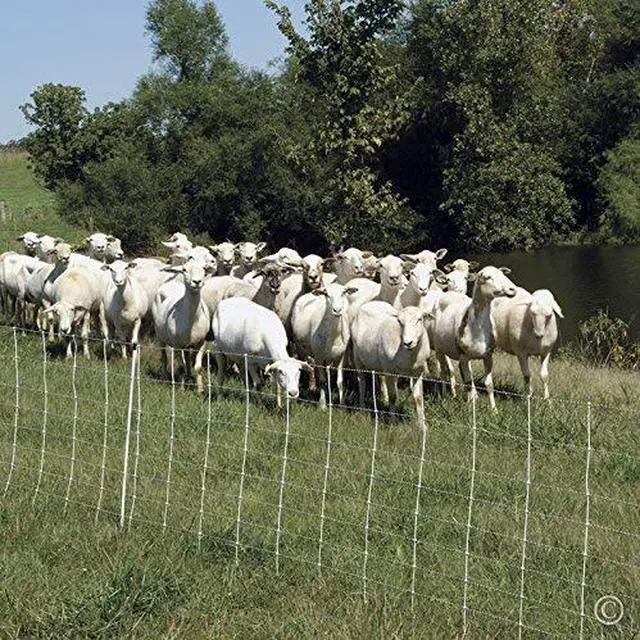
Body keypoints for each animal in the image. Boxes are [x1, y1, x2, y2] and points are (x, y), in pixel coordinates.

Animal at [152, 259, 211, 394]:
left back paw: (189, 377)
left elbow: (198, 367)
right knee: (164, 357)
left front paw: (200, 390)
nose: (197, 282)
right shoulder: (177, 345)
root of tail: (171, 283)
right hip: (160, 336)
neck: (193, 319)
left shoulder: (202, 343)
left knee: (187, 359)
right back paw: (165, 378)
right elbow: (181, 366)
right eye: (184, 269)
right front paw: (182, 389)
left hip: (187, 344)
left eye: (204, 269)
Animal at [431, 266, 518, 410]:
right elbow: (467, 383)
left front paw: (494, 410)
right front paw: (471, 409)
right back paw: (443, 397)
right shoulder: (464, 356)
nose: (512, 289)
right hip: (439, 348)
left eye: (502, 274)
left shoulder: (488, 356)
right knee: (443, 372)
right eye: (488, 277)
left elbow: (489, 384)